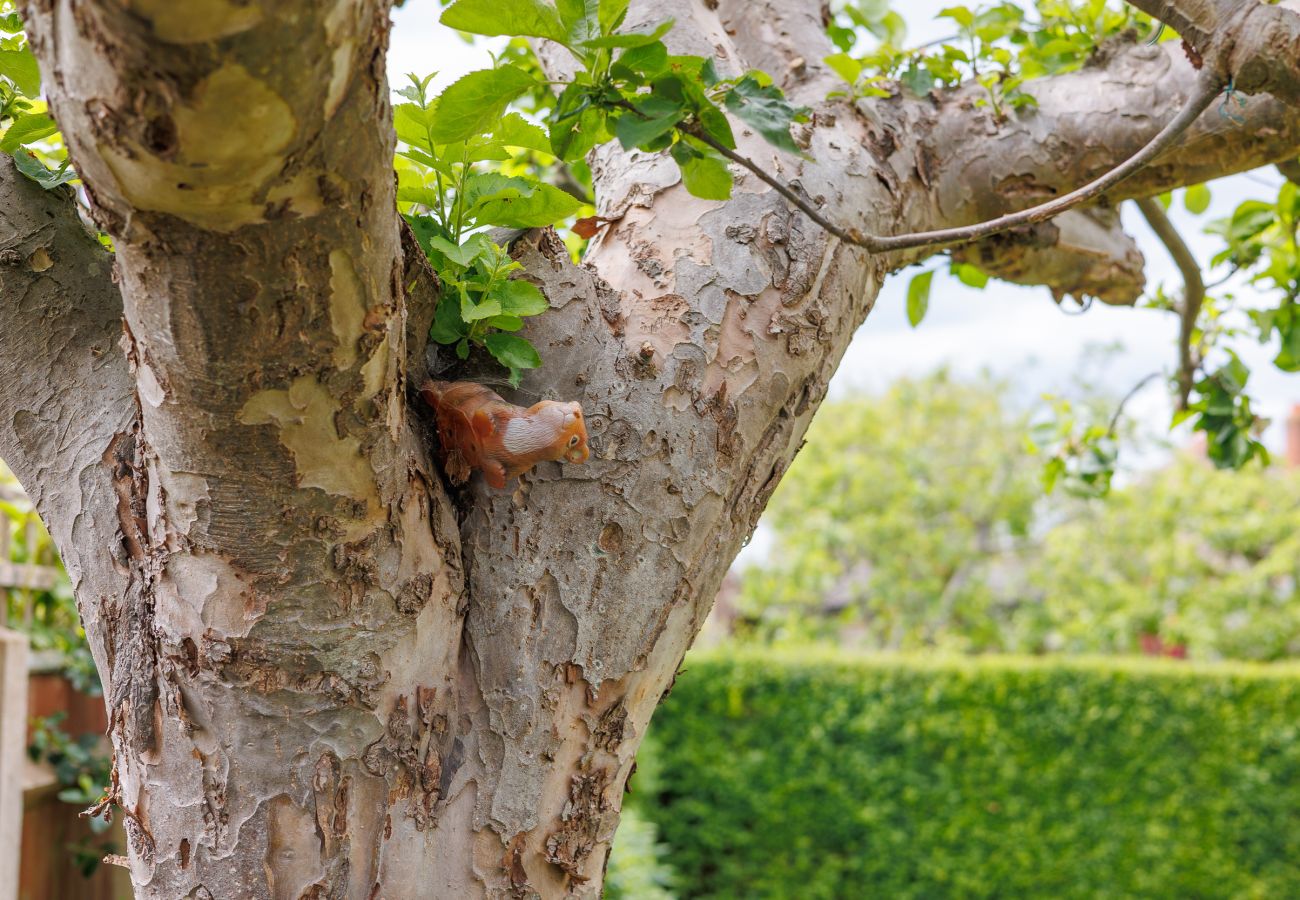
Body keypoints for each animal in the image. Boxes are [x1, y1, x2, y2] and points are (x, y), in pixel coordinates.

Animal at [418, 380, 590, 489]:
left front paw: (499, 477)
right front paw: (486, 421)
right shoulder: (505, 409)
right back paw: (428, 390)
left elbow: (494, 471)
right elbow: (486, 411)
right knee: (443, 395)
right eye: (568, 403)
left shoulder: (519, 465)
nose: (576, 411)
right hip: (464, 389)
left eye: (574, 440)